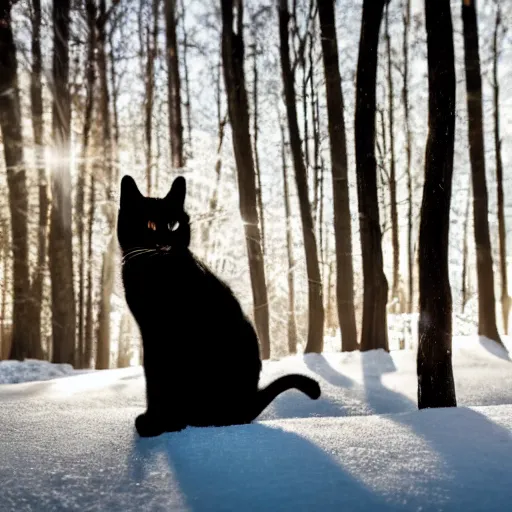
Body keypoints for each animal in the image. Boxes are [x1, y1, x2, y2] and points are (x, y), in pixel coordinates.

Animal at [118, 175, 322, 436]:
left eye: (174, 224)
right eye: (150, 225)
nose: (165, 243)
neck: (154, 274)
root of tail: (248, 405)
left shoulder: (169, 337)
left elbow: (160, 381)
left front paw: (159, 423)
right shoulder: (150, 334)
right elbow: (152, 378)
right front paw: (156, 420)